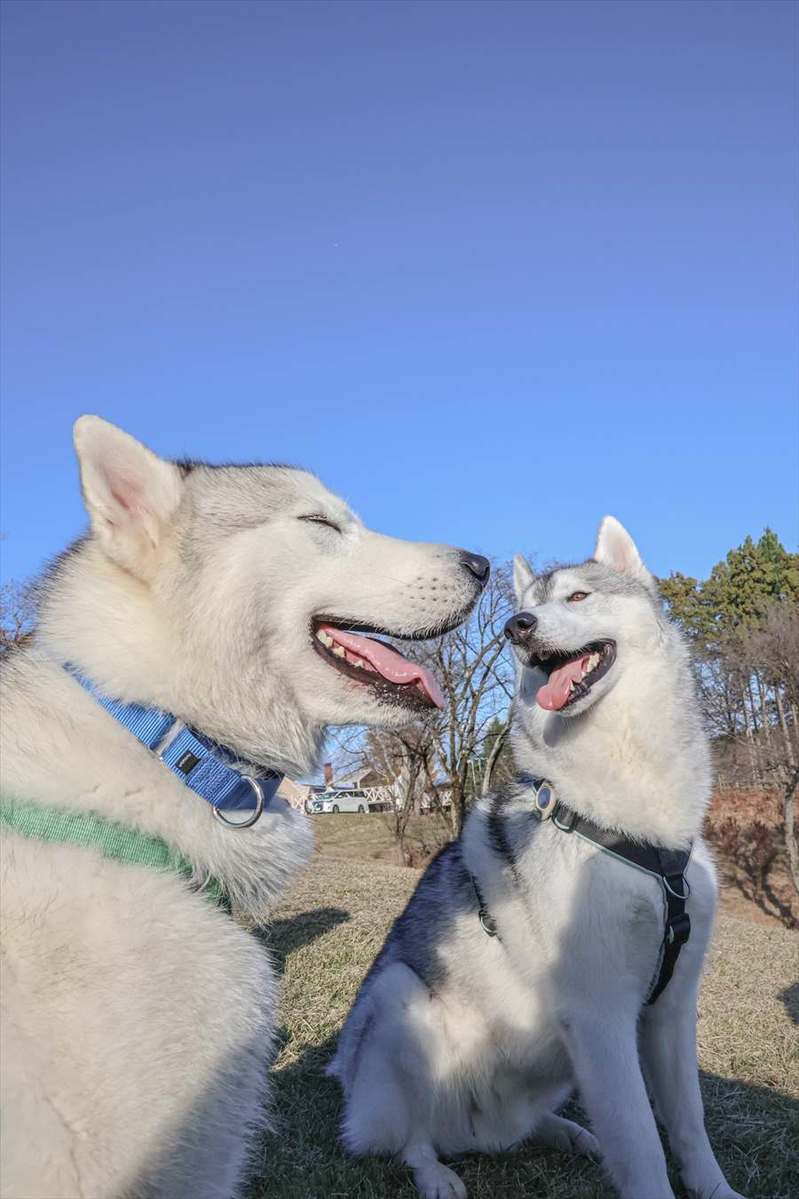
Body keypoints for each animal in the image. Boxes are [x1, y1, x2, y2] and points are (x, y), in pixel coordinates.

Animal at [328, 517, 739, 1199]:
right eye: (526, 608)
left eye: (577, 596)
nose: (515, 627)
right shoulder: (601, 1016)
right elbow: (643, 1142)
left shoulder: (672, 1008)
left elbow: (689, 1122)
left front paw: (716, 1190)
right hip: (395, 1001)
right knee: (411, 1136)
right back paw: (435, 1172)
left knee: (520, 1127)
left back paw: (568, 1134)